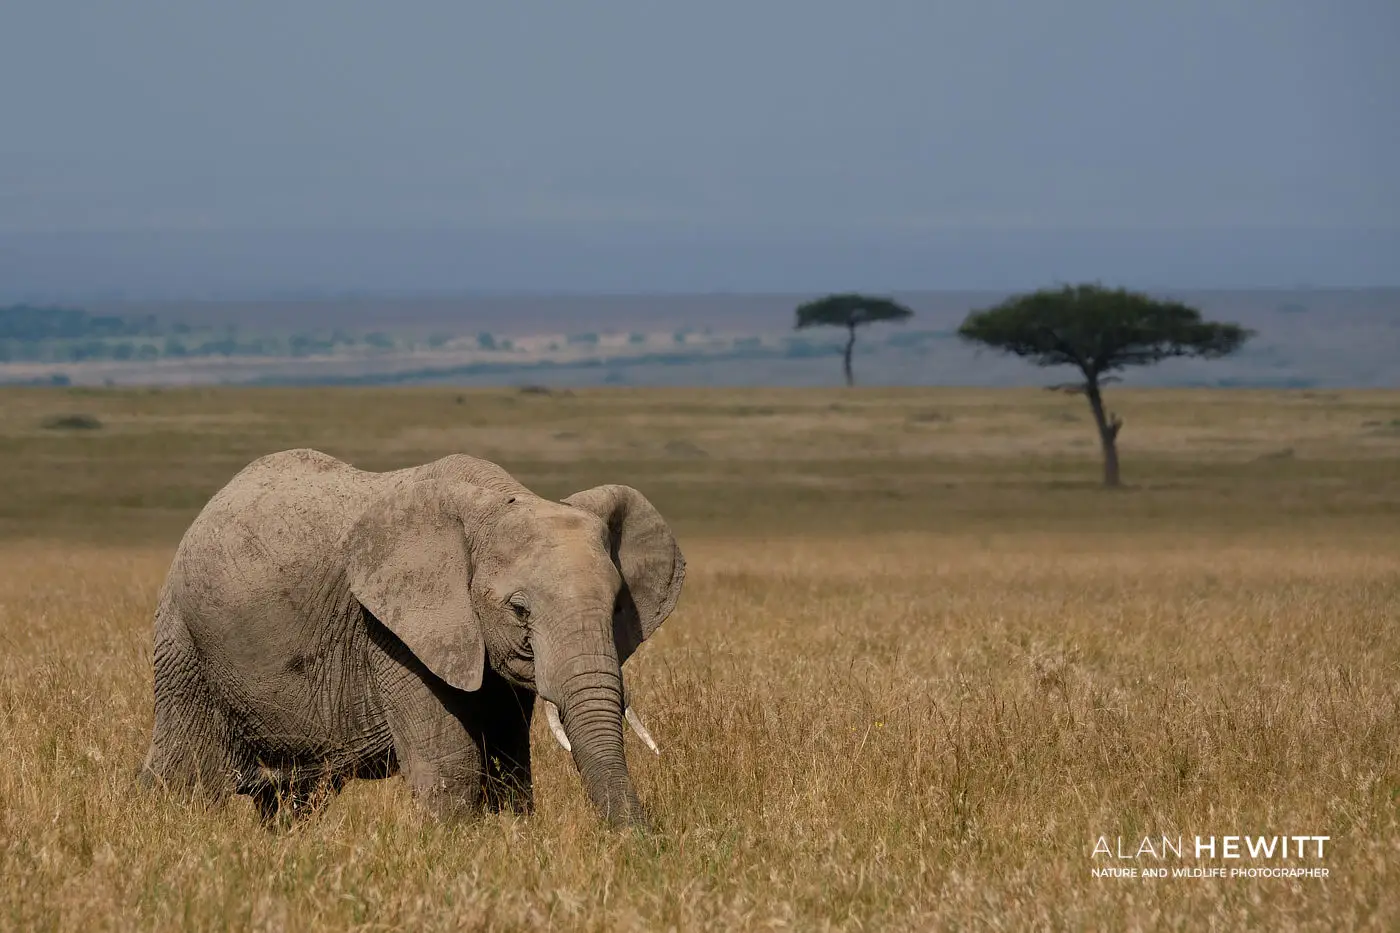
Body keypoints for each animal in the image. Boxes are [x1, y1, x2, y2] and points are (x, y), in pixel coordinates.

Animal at [138, 448, 685, 829]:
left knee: (291, 799)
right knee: (182, 776)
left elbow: (507, 761)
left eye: (617, 607)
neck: (495, 502)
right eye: (520, 609)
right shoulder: (392, 632)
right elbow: (454, 765)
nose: (646, 841)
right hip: (186, 646)